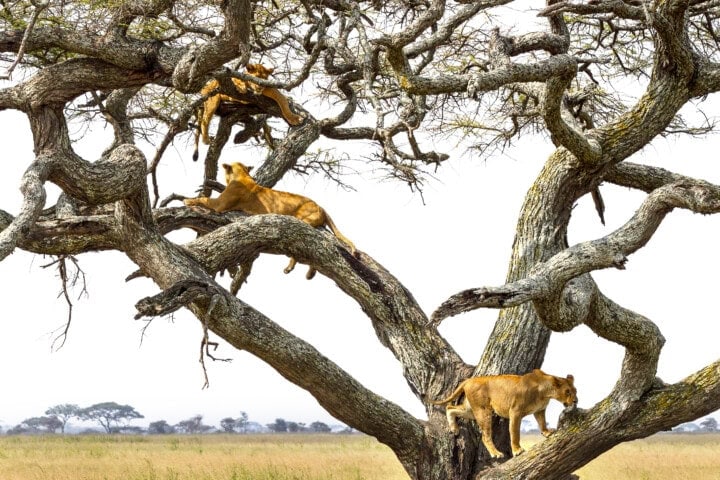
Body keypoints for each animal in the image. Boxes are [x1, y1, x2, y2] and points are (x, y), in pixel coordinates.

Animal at [184, 161, 357, 280]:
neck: (243, 175)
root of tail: (320, 206)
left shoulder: (219, 204)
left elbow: (204, 199)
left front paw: (187, 200)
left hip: (300, 221)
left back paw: (292, 267)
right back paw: (310, 273)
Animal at [433, 369, 577, 458]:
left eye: (575, 391)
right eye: (567, 392)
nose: (576, 401)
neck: (546, 393)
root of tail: (469, 380)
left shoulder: (539, 410)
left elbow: (542, 423)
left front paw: (547, 432)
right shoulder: (515, 412)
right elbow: (515, 433)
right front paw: (517, 451)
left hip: (471, 410)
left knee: (450, 407)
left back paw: (454, 428)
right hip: (483, 411)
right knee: (485, 436)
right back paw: (496, 453)